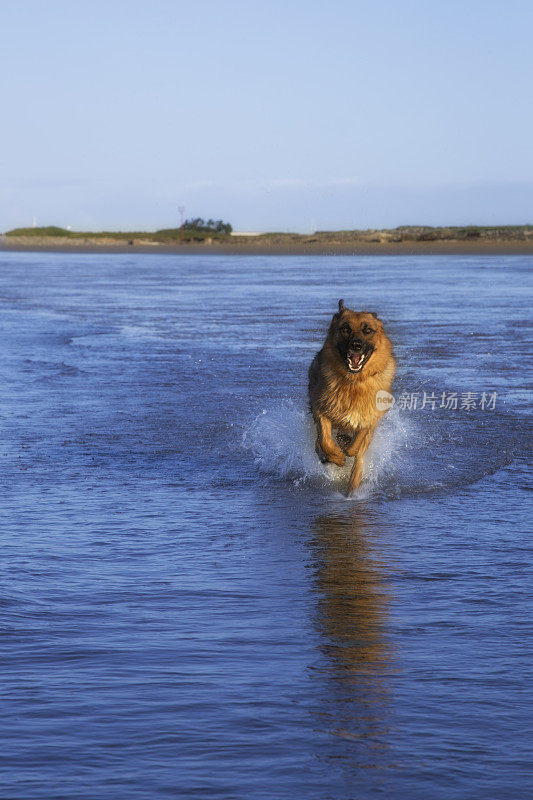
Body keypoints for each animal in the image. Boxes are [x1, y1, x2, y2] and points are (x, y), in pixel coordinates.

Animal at [308, 300, 394, 494]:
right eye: (346, 329)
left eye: (367, 330)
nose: (356, 345)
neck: (354, 382)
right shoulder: (321, 408)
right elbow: (326, 440)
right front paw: (337, 456)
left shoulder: (371, 418)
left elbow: (357, 447)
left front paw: (348, 449)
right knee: (319, 441)